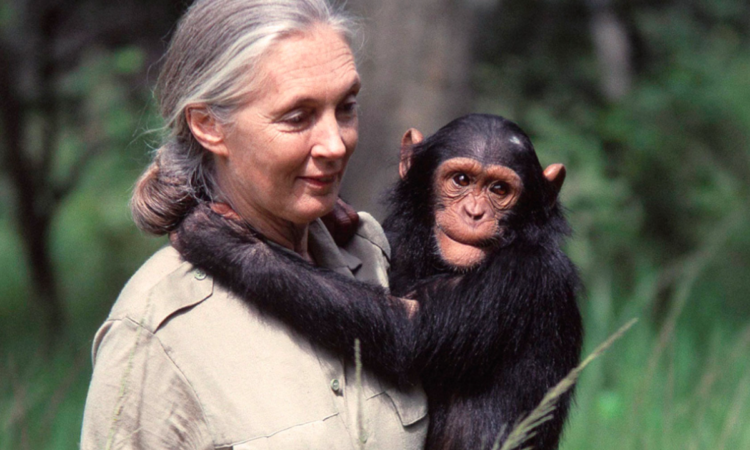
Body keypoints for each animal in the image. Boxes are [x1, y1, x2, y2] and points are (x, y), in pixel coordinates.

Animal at [172, 113, 583, 450]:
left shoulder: (526, 273)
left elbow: (409, 327)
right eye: (462, 179)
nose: (475, 211)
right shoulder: (395, 239)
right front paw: (339, 216)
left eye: (500, 190)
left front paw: (225, 241)